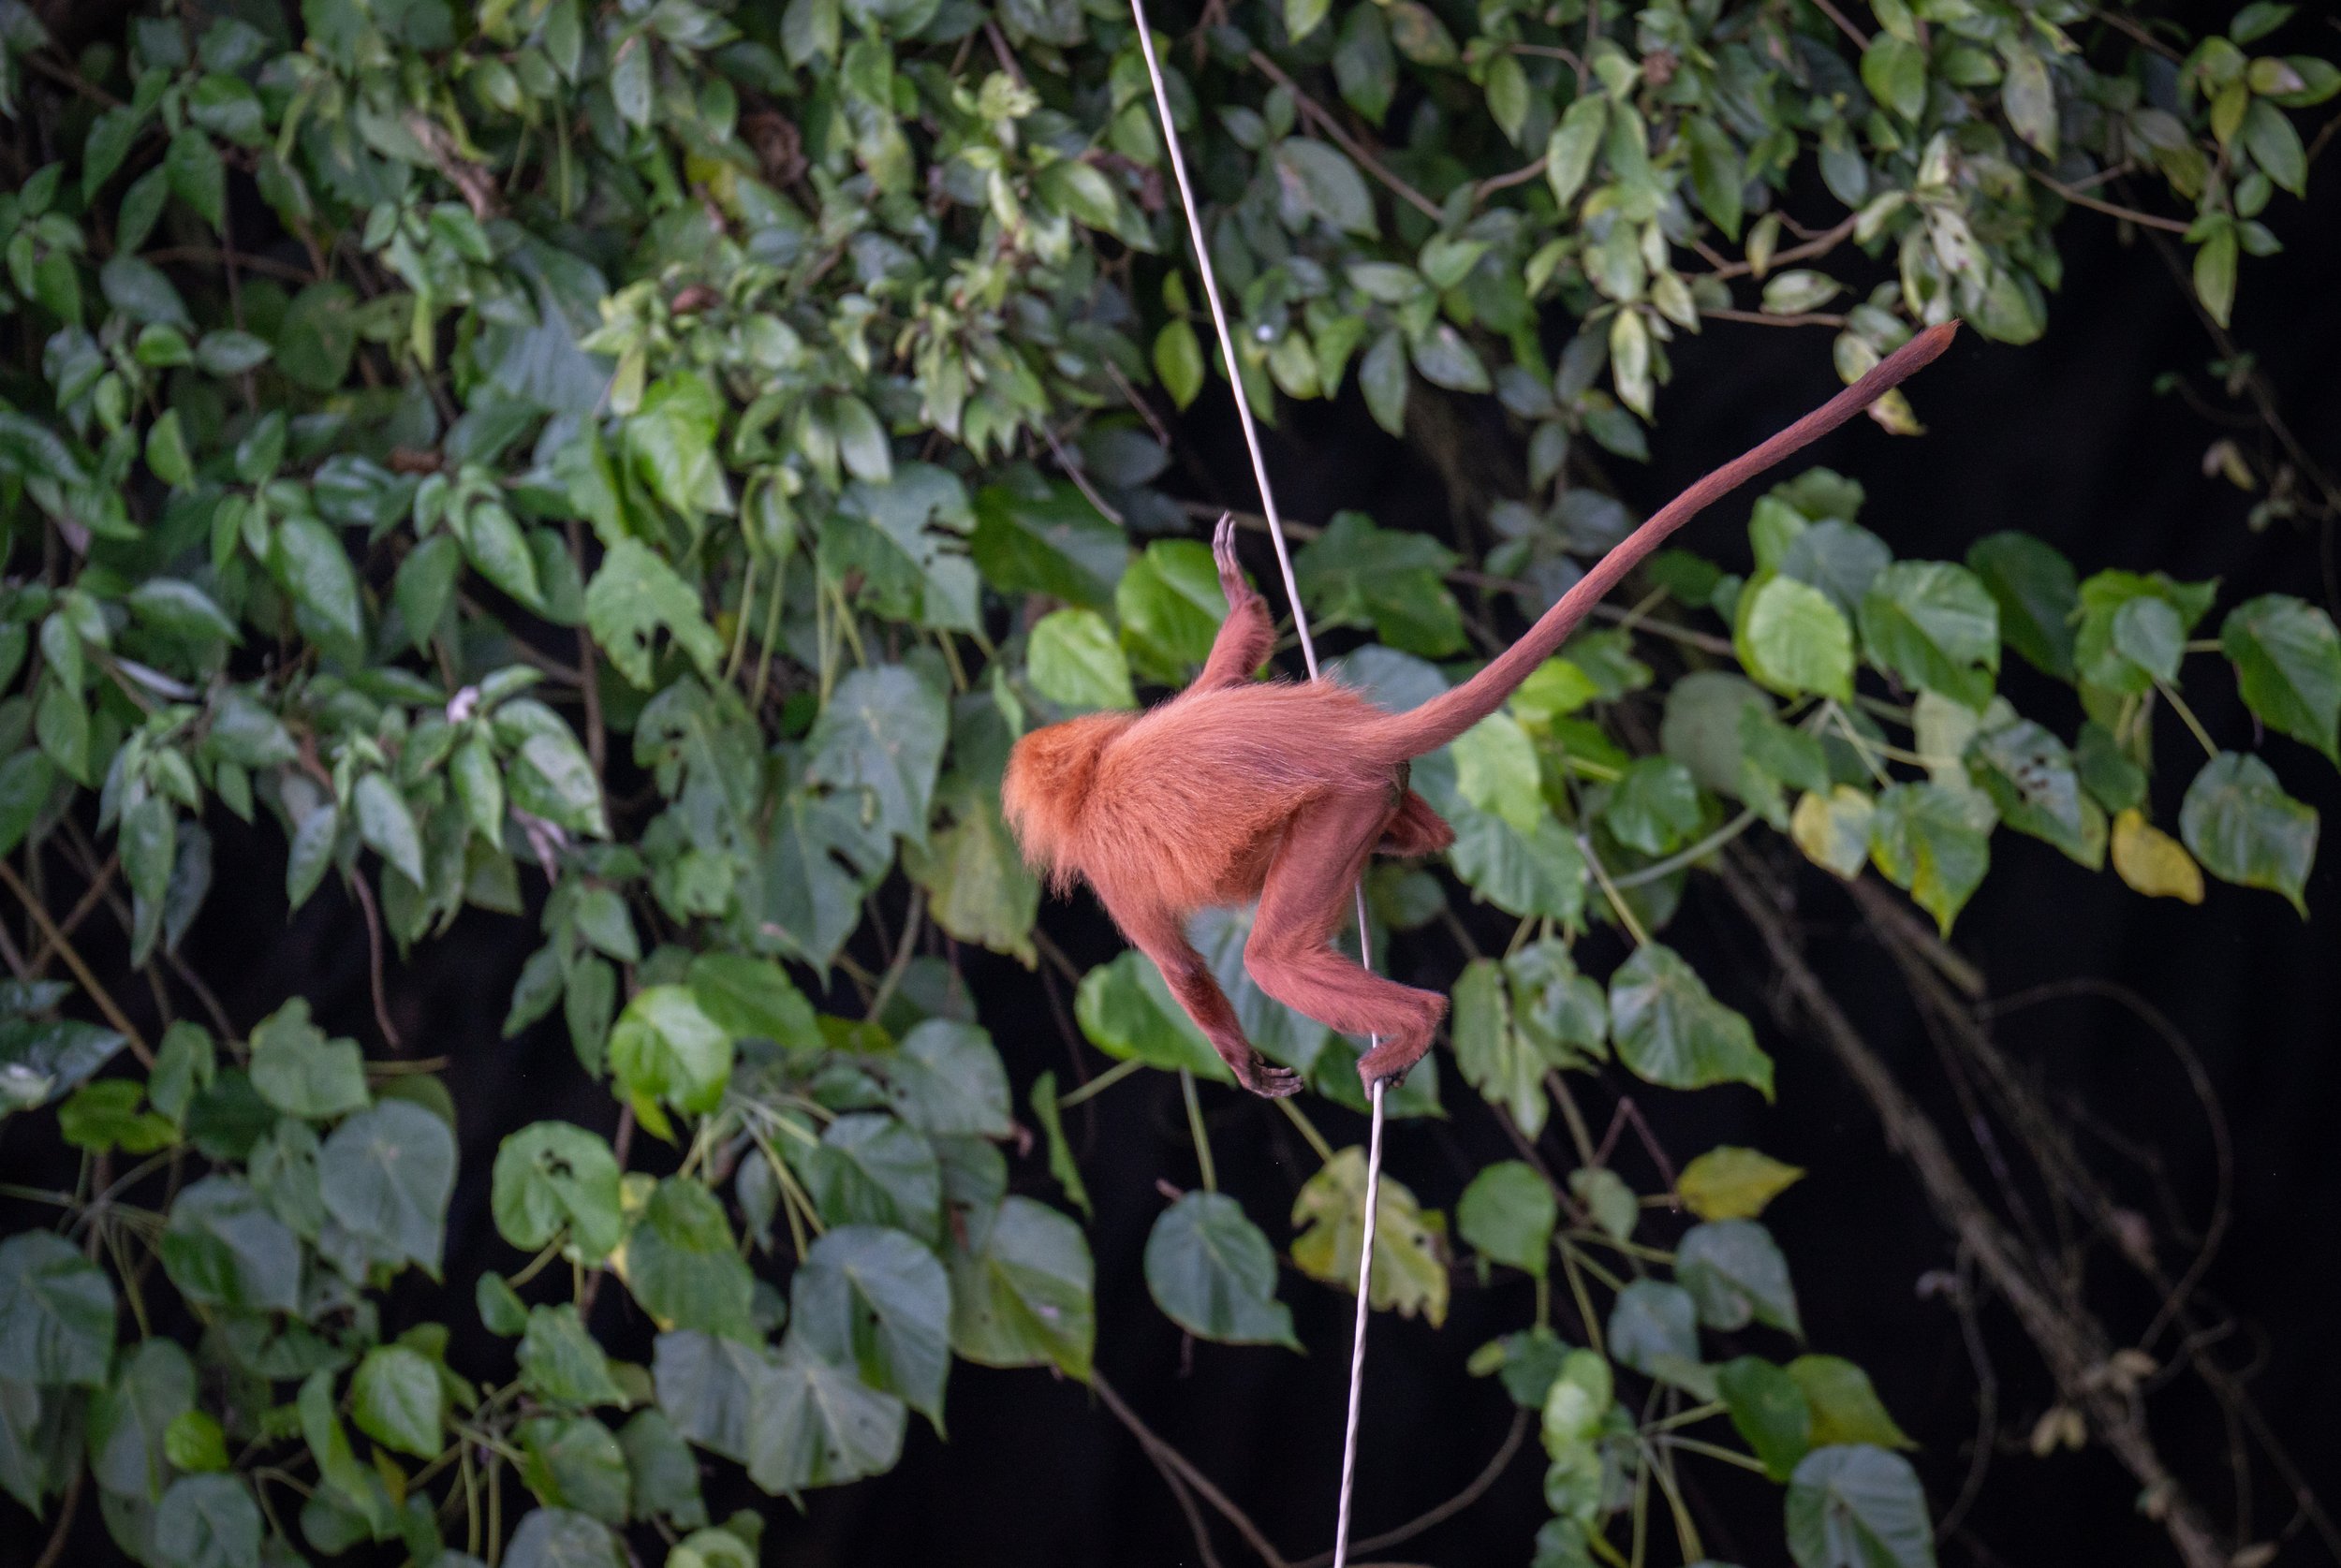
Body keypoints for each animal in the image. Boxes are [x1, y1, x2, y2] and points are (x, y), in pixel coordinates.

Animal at [1003, 321, 1959, 1097]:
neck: (1096, 769)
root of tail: (1344, 733)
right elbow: (1227, 668)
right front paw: (1239, 597)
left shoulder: (1106, 867)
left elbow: (1185, 971)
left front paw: (1241, 1060)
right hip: (1364, 797)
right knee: (1408, 837)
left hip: (1338, 801)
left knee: (1271, 958)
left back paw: (1417, 1020)